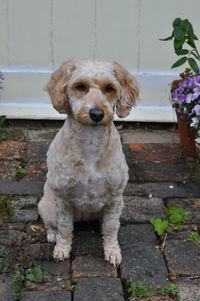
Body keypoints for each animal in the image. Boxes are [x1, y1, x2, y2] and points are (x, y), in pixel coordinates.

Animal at [38, 59, 139, 264]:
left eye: (109, 88)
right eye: (80, 86)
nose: (97, 114)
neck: (90, 143)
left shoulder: (115, 200)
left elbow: (111, 229)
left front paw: (112, 251)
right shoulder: (63, 200)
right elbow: (65, 229)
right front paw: (62, 249)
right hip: (47, 206)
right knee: (52, 224)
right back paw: (52, 235)